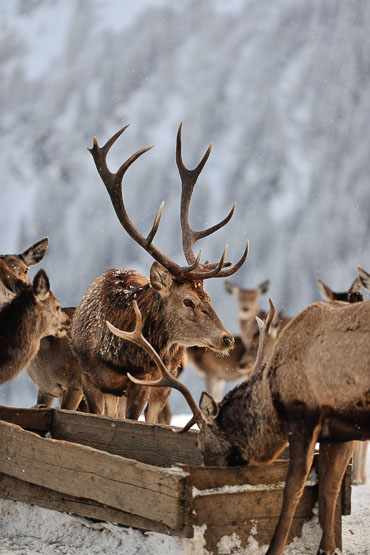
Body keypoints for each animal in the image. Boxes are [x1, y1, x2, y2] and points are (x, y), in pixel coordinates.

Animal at [69, 124, 249, 424]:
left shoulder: (146, 381)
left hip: (166, 380)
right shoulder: (88, 378)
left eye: (209, 298)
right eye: (188, 300)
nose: (227, 338)